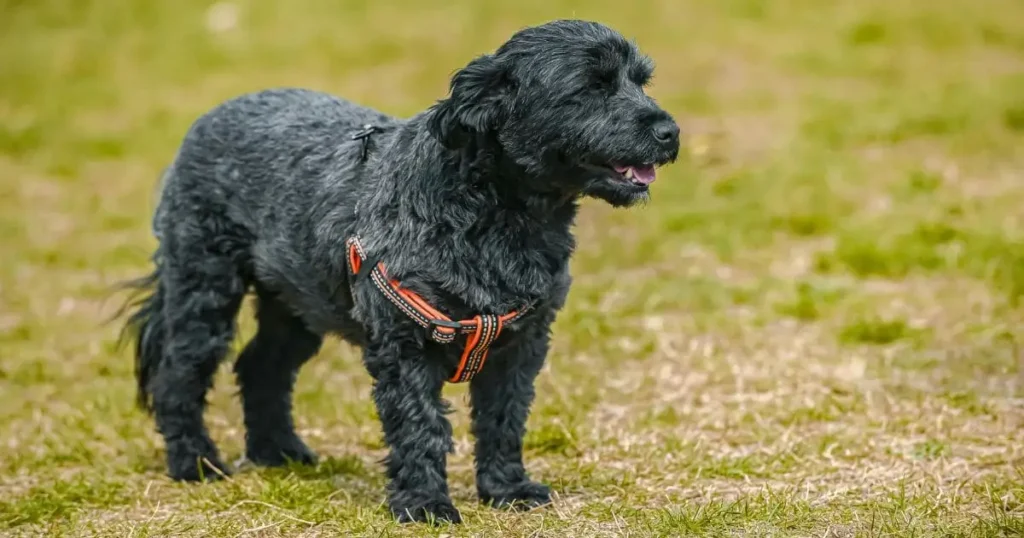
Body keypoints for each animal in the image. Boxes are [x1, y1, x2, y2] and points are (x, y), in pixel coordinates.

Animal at [119, 18, 679, 522]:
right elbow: (420, 425)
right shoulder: (405, 344)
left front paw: (508, 490)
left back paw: (277, 453)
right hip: (204, 287)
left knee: (261, 367)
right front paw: (425, 505)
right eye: (592, 86)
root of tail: (210, 117)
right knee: (179, 374)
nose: (670, 131)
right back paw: (195, 463)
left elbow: (503, 420)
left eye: (641, 80)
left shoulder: (520, 345)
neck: (495, 215)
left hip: (298, 302)